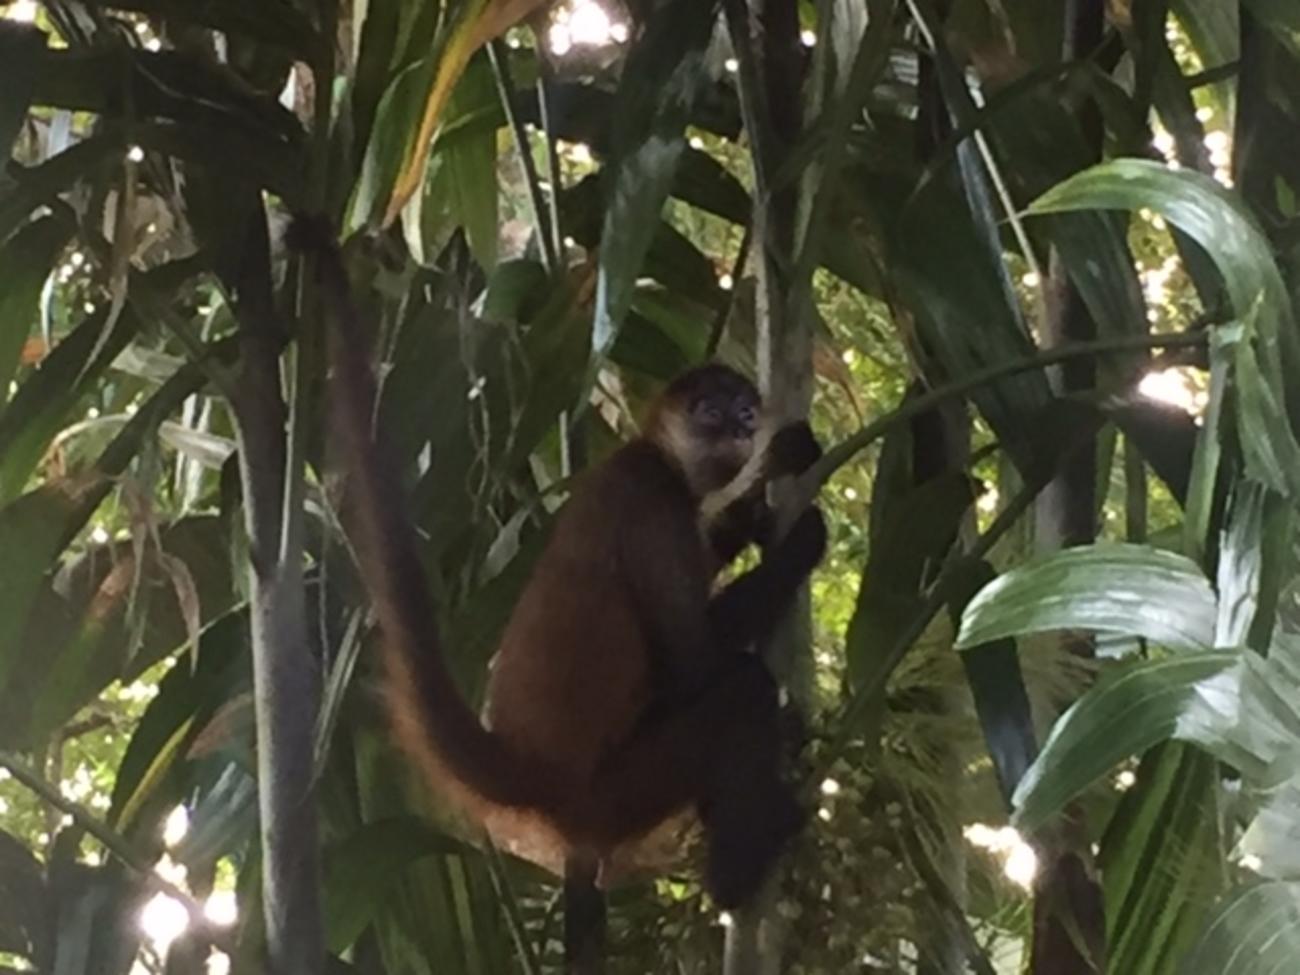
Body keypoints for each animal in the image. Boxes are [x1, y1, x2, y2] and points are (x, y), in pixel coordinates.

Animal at [291, 217, 826, 915]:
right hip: (617, 793)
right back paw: (737, 875)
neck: (656, 458)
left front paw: (757, 505)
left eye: (745, 412)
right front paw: (801, 537)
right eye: (711, 411)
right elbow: (694, 665)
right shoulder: (649, 499)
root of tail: (534, 770)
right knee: (741, 690)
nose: (740, 428)